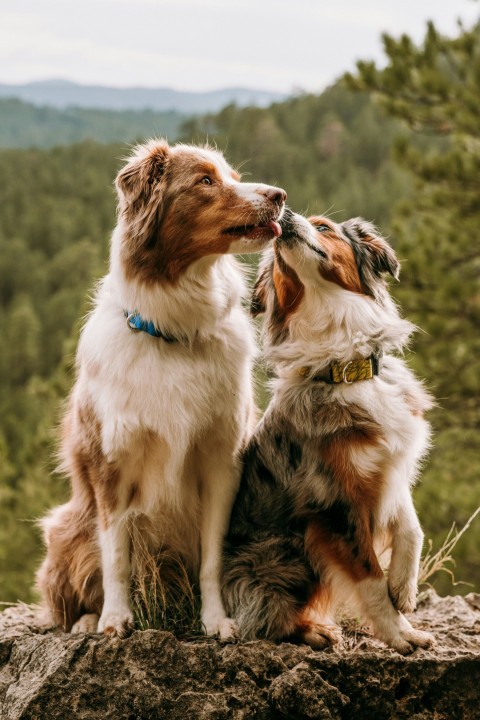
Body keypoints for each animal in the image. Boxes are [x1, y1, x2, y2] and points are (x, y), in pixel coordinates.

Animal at [38, 138, 284, 640]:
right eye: (205, 180)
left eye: (233, 176)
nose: (280, 195)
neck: (173, 331)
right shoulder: (110, 464)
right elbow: (116, 557)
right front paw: (115, 618)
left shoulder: (221, 461)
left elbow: (212, 558)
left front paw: (216, 621)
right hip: (65, 528)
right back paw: (87, 620)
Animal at [223, 207, 434, 652]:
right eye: (276, 259)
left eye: (324, 227)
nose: (284, 213)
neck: (345, 367)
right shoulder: (335, 501)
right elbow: (369, 577)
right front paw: (399, 634)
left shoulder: (390, 464)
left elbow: (410, 523)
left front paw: (404, 588)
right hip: (286, 550)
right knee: (261, 616)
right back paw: (311, 630)